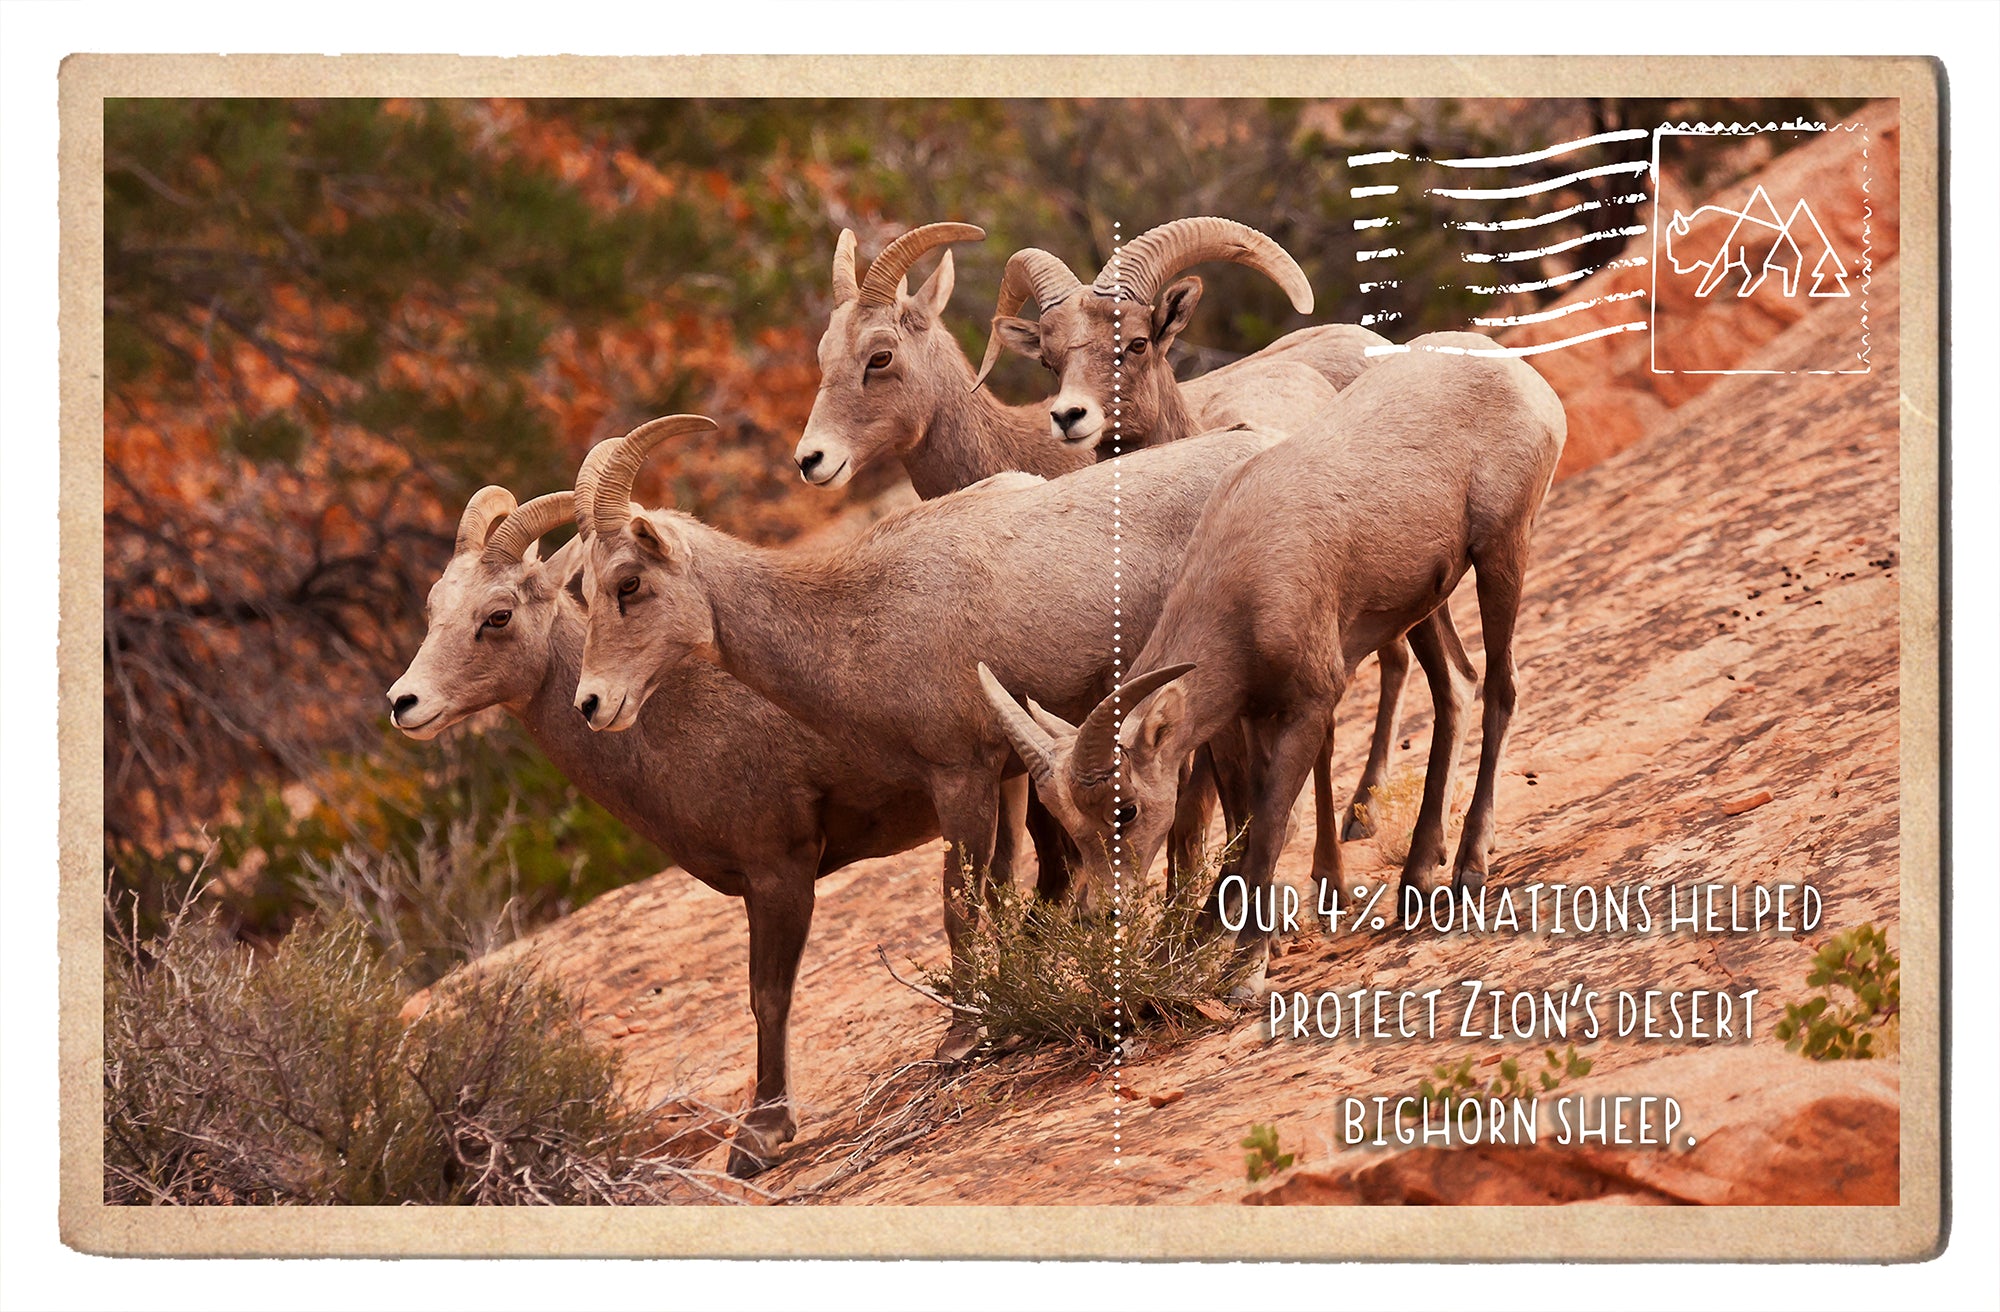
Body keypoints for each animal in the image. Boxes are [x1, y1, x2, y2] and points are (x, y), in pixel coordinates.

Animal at [386, 483, 943, 1177]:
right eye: (434, 607)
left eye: (498, 616)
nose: (402, 703)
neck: (676, 720)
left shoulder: (778, 872)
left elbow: (767, 997)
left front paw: (757, 1140)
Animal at [569, 415, 1287, 1060]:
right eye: (585, 590)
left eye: (628, 583)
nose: (592, 703)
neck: (855, 620)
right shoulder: (998, 779)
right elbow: (1001, 893)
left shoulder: (961, 776)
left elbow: (958, 906)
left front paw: (962, 1038)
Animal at [980, 334, 1566, 983]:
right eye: (1065, 820)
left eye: (1125, 810)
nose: (1097, 916)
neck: (1246, 583)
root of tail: (1510, 368)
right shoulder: (1254, 717)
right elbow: (1249, 822)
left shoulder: (1308, 707)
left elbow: (1267, 827)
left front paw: (1245, 971)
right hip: (1424, 603)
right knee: (1457, 687)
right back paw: (1415, 882)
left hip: (1501, 553)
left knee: (1501, 688)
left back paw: (1468, 868)